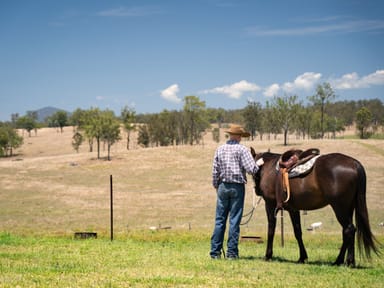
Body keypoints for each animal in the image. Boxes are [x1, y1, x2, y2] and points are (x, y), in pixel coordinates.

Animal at [250, 147, 380, 266]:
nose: (257, 190)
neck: (269, 167)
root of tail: (355, 164)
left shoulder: (270, 205)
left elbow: (271, 230)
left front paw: (268, 255)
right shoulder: (293, 209)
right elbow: (298, 232)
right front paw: (302, 257)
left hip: (340, 207)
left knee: (349, 229)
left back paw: (348, 261)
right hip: (349, 207)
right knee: (346, 231)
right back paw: (341, 261)